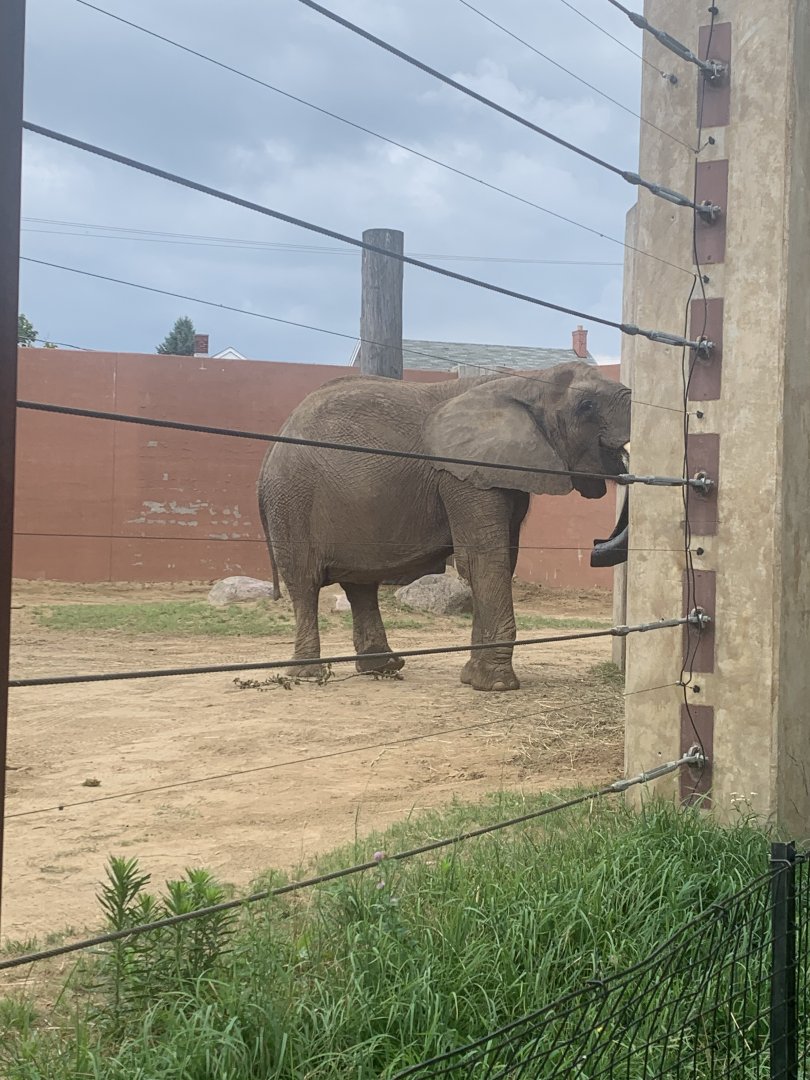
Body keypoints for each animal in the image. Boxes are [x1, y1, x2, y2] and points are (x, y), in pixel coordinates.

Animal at [257, 360, 631, 692]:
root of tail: (272, 448)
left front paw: (472, 677)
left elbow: (501, 559)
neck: (524, 381)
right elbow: (482, 559)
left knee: (360, 585)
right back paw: (309, 676)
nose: (595, 547)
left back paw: (383, 667)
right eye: (586, 406)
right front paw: (496, 685)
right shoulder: (461, 472)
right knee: (305, 582)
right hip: (292, 501)